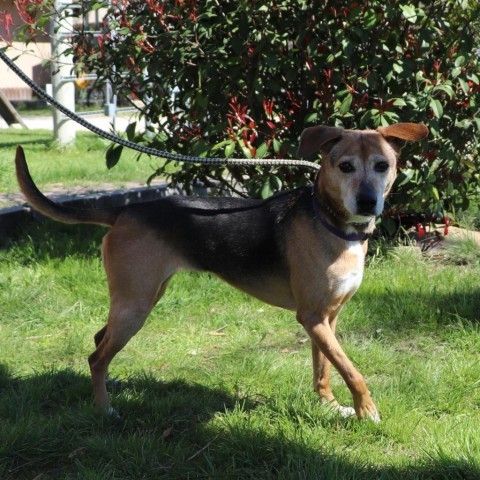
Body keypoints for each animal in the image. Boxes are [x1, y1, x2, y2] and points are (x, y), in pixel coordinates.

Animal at [14, 123, 428, 420]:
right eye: (345, 167)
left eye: (382, 166)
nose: (368, 201)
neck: (330, 222)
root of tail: (126, 210)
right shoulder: (311, 317)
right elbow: (352, 371)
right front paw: (365, 411)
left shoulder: (328, 318)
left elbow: (325, 368)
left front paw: (328, 405)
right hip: (136, 304)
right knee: (96, 356)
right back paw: (104, 409)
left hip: (141, 296)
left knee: (100, 341)